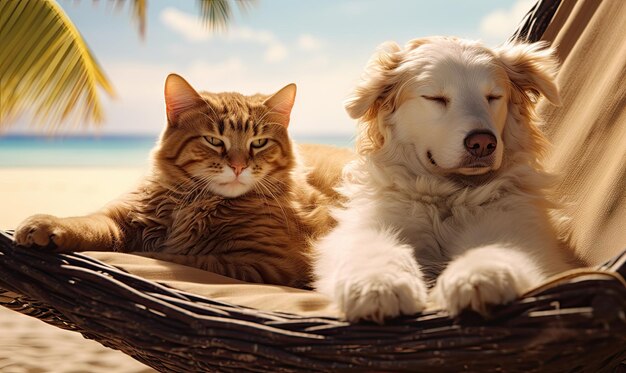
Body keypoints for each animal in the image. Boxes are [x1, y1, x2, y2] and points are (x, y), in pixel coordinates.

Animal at [13, 72, 352, 288]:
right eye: (214, 141)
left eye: (258, 143)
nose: (239, 166)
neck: (193, 204)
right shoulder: (116, 219)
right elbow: (85, 223)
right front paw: (46, 225)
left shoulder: (268, 262)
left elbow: (179, 257)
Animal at [314, 36, 576, 322]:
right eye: (435, 98)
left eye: (493, 97)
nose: (482, 143)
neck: (447, 195)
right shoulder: (368, 225)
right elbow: (371, 248)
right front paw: (377, 285)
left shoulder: (514, 227)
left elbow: (497, 247)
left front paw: (479, 275)